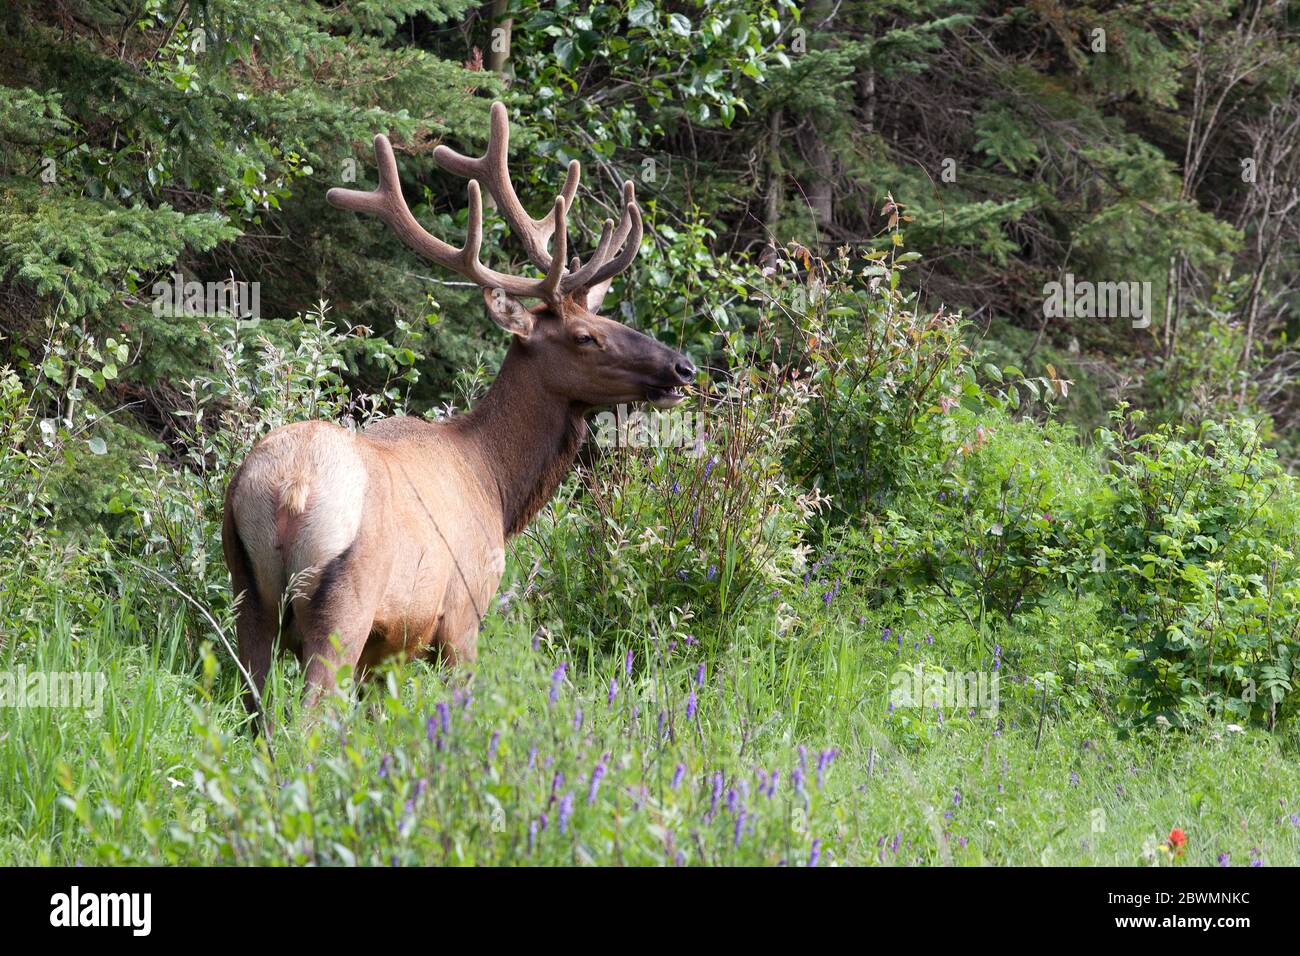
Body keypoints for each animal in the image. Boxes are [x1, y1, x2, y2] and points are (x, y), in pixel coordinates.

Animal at [220, 101, 695, 713]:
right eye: (586, 336)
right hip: (343, 604)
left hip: (245, 590)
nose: (682, 368)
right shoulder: (464, 613)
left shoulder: (388, 647)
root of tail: (289, 486)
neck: (497, 485)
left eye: (608, 318)